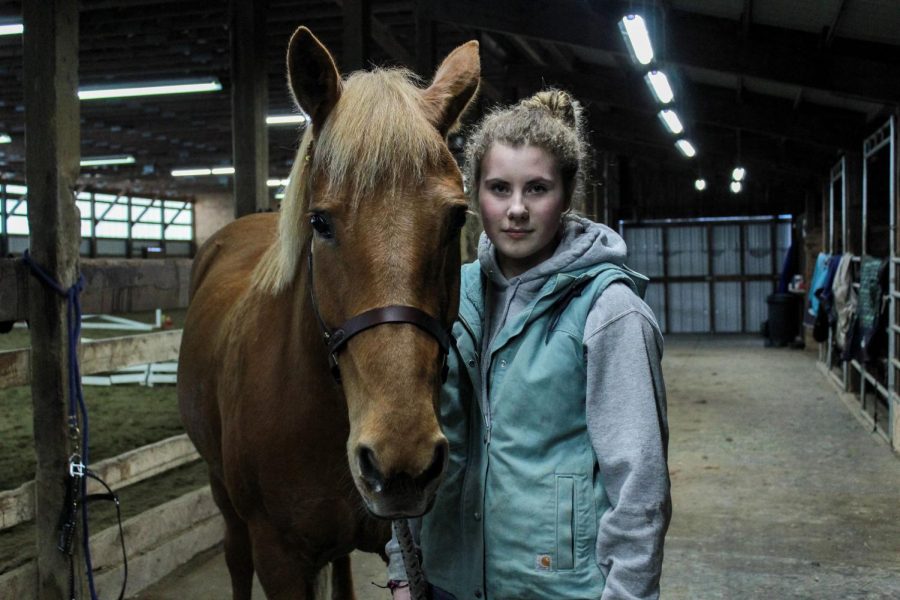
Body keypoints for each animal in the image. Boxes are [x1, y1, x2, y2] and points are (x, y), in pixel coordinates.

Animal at [178, 25, 478, 596]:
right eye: (320, 222)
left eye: (456, 218)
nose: (400, 461)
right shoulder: (279, 559)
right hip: (223, 494)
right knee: (234, 558)